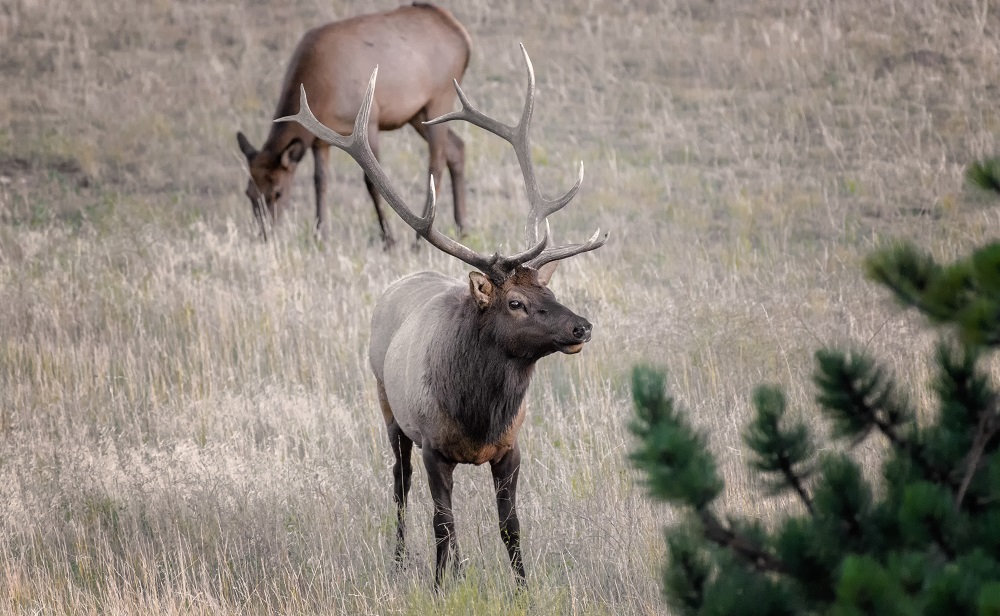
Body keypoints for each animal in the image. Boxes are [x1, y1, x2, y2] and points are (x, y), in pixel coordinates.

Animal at [236, 4, 470, 247]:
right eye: (249, 192)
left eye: (278, 192)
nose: (263, 234)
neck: (320, 91)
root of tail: (464, 38)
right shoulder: (319, 141)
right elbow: (320, 182)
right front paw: (320, 236)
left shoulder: (371, 120)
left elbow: (371, 182)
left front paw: (389, 240)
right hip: (418, 114)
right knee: (457, 147)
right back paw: (462, 228)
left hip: (440, 98)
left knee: (436, 163)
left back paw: (418, 241)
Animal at [276, 44, 608, 588]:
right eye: (514, 303)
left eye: (548, 288)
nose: (582, 325)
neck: (479, 417)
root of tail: (402, 281)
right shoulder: (433, 445)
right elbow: (442, 522)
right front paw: (438, 587)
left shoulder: (512, 448)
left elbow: (510, 524)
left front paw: (522, 587)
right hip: (388, 406)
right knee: (400, 484)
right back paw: (400, 560)